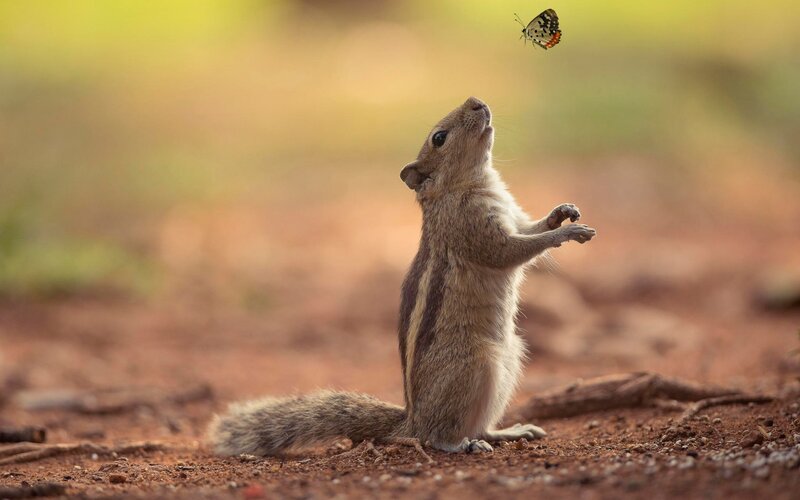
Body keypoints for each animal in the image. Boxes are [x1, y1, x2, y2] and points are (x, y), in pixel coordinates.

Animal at [207, 97, 596, 456]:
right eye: (439, 138)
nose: (476, 101)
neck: (464, 185)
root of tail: (411, 419)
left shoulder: (513, 216)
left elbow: (531, 228)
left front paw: (562, 213)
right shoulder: (473, 230)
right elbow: (511, 252)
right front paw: (567, 233)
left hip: (511, 357)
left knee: (479, 424)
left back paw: (509, 432)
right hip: (477, 365)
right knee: (437, 436)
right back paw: (462, 444)